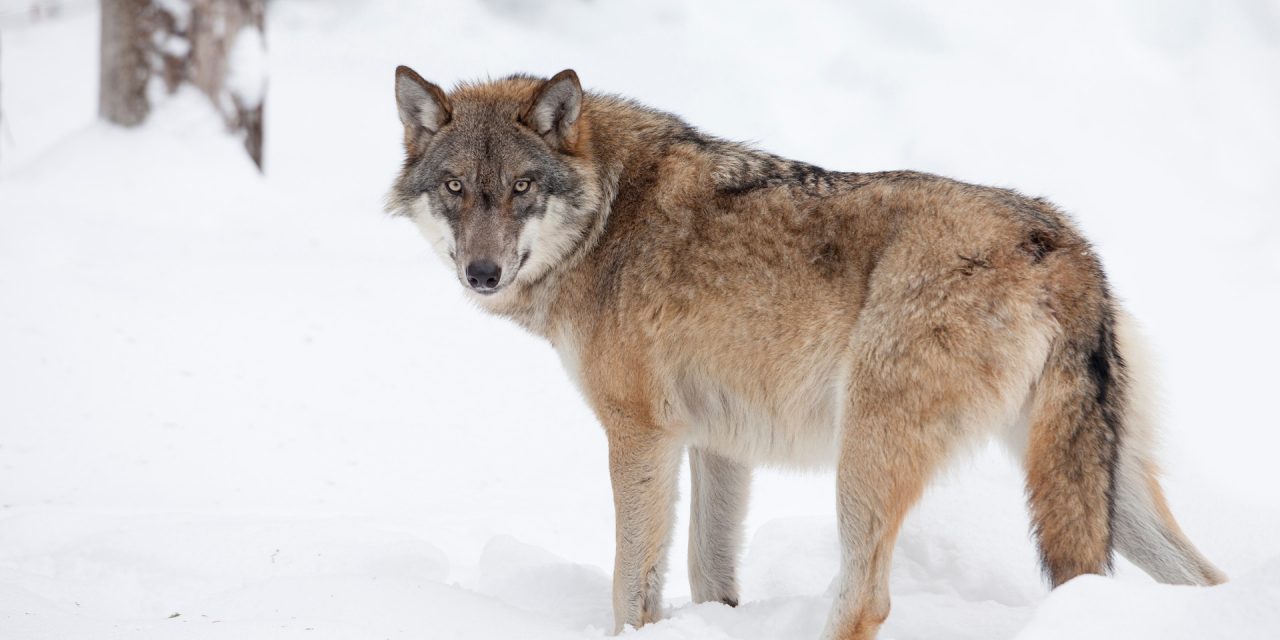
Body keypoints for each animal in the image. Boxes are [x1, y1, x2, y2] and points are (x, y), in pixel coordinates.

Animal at [385, 66, 1225, 639]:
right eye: (456, 188)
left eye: (522, 187)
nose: (482, 273)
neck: (607, 215)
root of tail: (1061, 243)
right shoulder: (717, 445)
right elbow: (709, 573)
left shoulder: (640, 436)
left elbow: (632, 585)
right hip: (1096, 482)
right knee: (1204, 578)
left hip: (867, 459)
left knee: (865, 601)